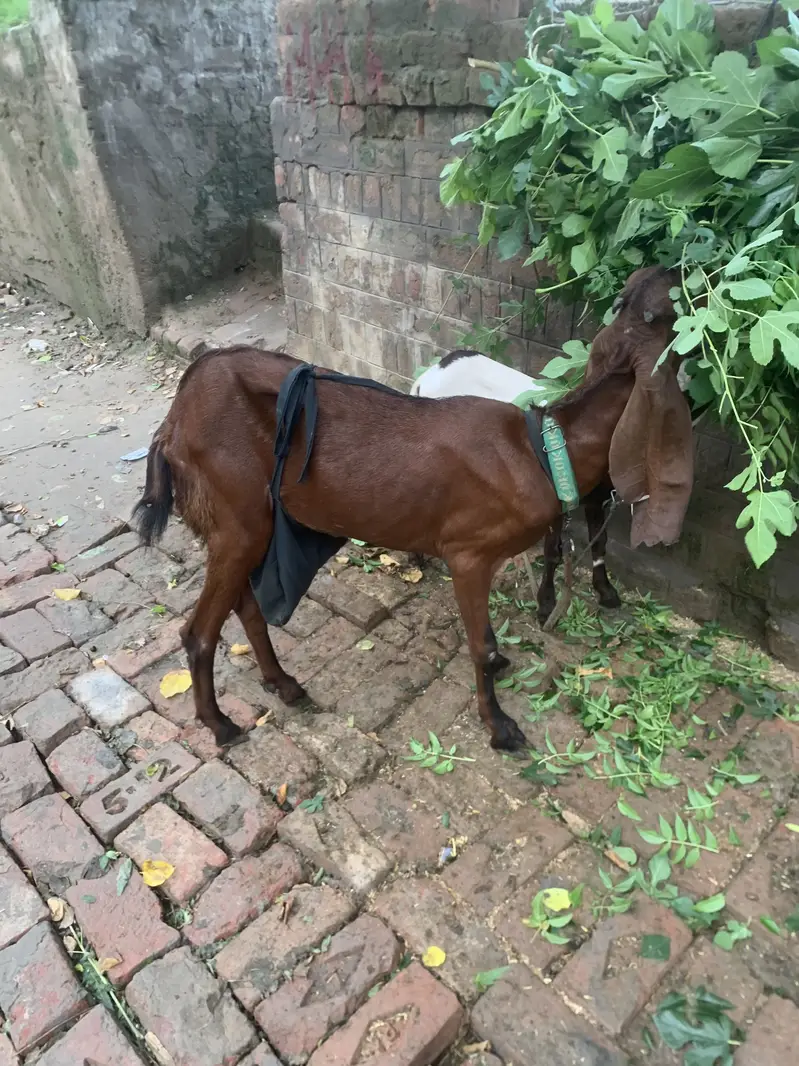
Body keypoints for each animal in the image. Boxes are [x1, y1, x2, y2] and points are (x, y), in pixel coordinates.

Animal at [132, 266, 693, 754]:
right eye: (669, 316)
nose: (678, 268)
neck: (541, 447)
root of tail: (173, 422)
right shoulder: (468, 554)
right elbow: (481, 645)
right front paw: (500, 727)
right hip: (238, 520)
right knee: (198, 632)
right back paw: (221, 724)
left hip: (247, 523)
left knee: (245, 606)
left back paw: (284, 685)